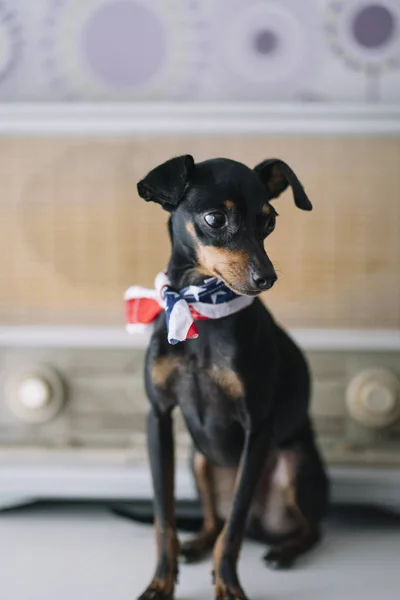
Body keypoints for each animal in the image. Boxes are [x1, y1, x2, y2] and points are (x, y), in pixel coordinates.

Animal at [136, 156, 326, 600]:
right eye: (215, 218)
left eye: (269, 222)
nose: (267, 277)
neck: (200, 309)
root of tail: (265, 524)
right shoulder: (159, 417)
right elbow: (164, 520)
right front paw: (161, 582)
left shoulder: (257, 427)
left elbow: (234, 528)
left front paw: (228, 585)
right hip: (198, 459)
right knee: (213, 521)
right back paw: (196, 544)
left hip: (295, 464)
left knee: (307, 528)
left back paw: (285, 550)